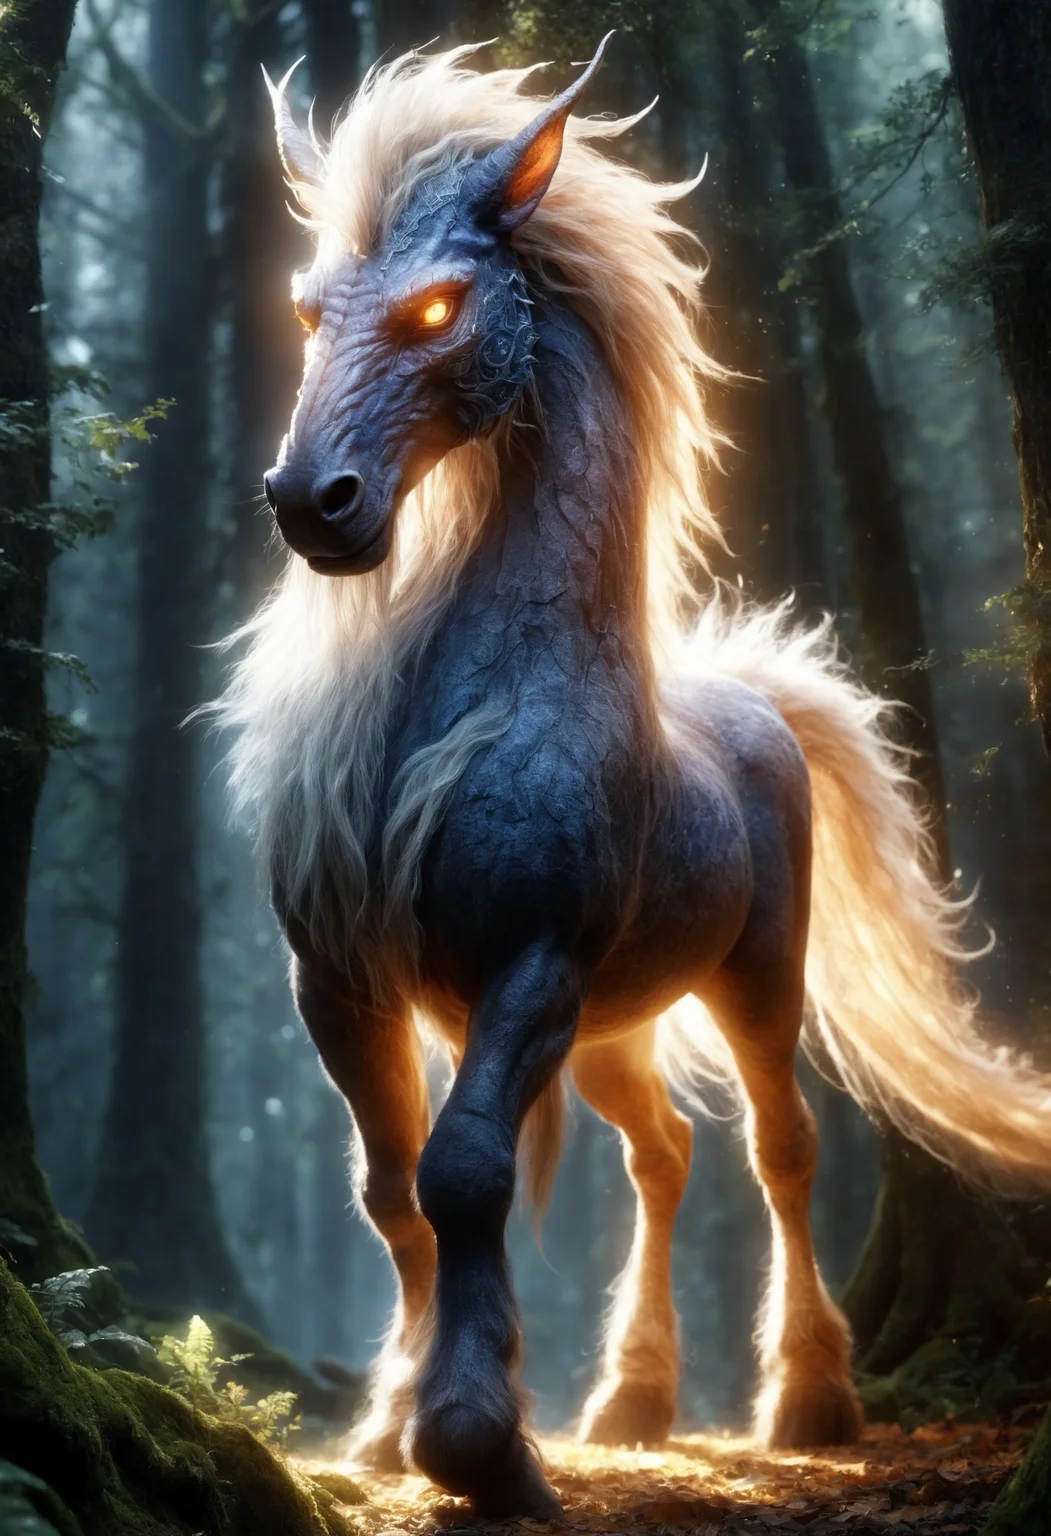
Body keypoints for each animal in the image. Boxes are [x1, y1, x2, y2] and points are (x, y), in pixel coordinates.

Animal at [216, 37, 1051, 1519]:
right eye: (309, 311)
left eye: (438, 306)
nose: (313, 504)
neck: (475, 692)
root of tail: (755, 701)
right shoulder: (341, 984)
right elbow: (390, 1189)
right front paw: (389, 1425)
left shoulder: (528, 969)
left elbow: (465, 1173)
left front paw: (477, 1444)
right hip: (610, 1028)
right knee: (660, 1152)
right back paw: (632, 1399)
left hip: (749, 980)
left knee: (780, 1149)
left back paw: (805, 1399)